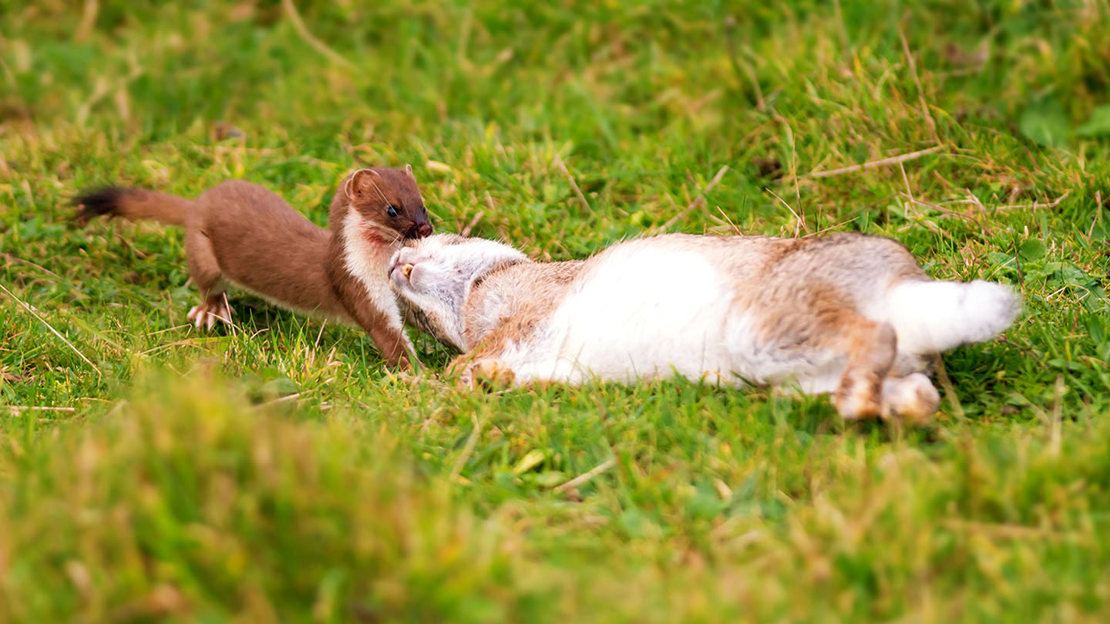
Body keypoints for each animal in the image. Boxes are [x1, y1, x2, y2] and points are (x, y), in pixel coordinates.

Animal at [387, 232, 1021, 420]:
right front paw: (484, 383)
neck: (477, 286)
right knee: (912, 394)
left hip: (766, 329)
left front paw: (453, 377)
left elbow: (480, 351)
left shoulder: (522, 314)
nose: (397, 266)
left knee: (875, 337)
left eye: (436, 237)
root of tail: (903, 290)